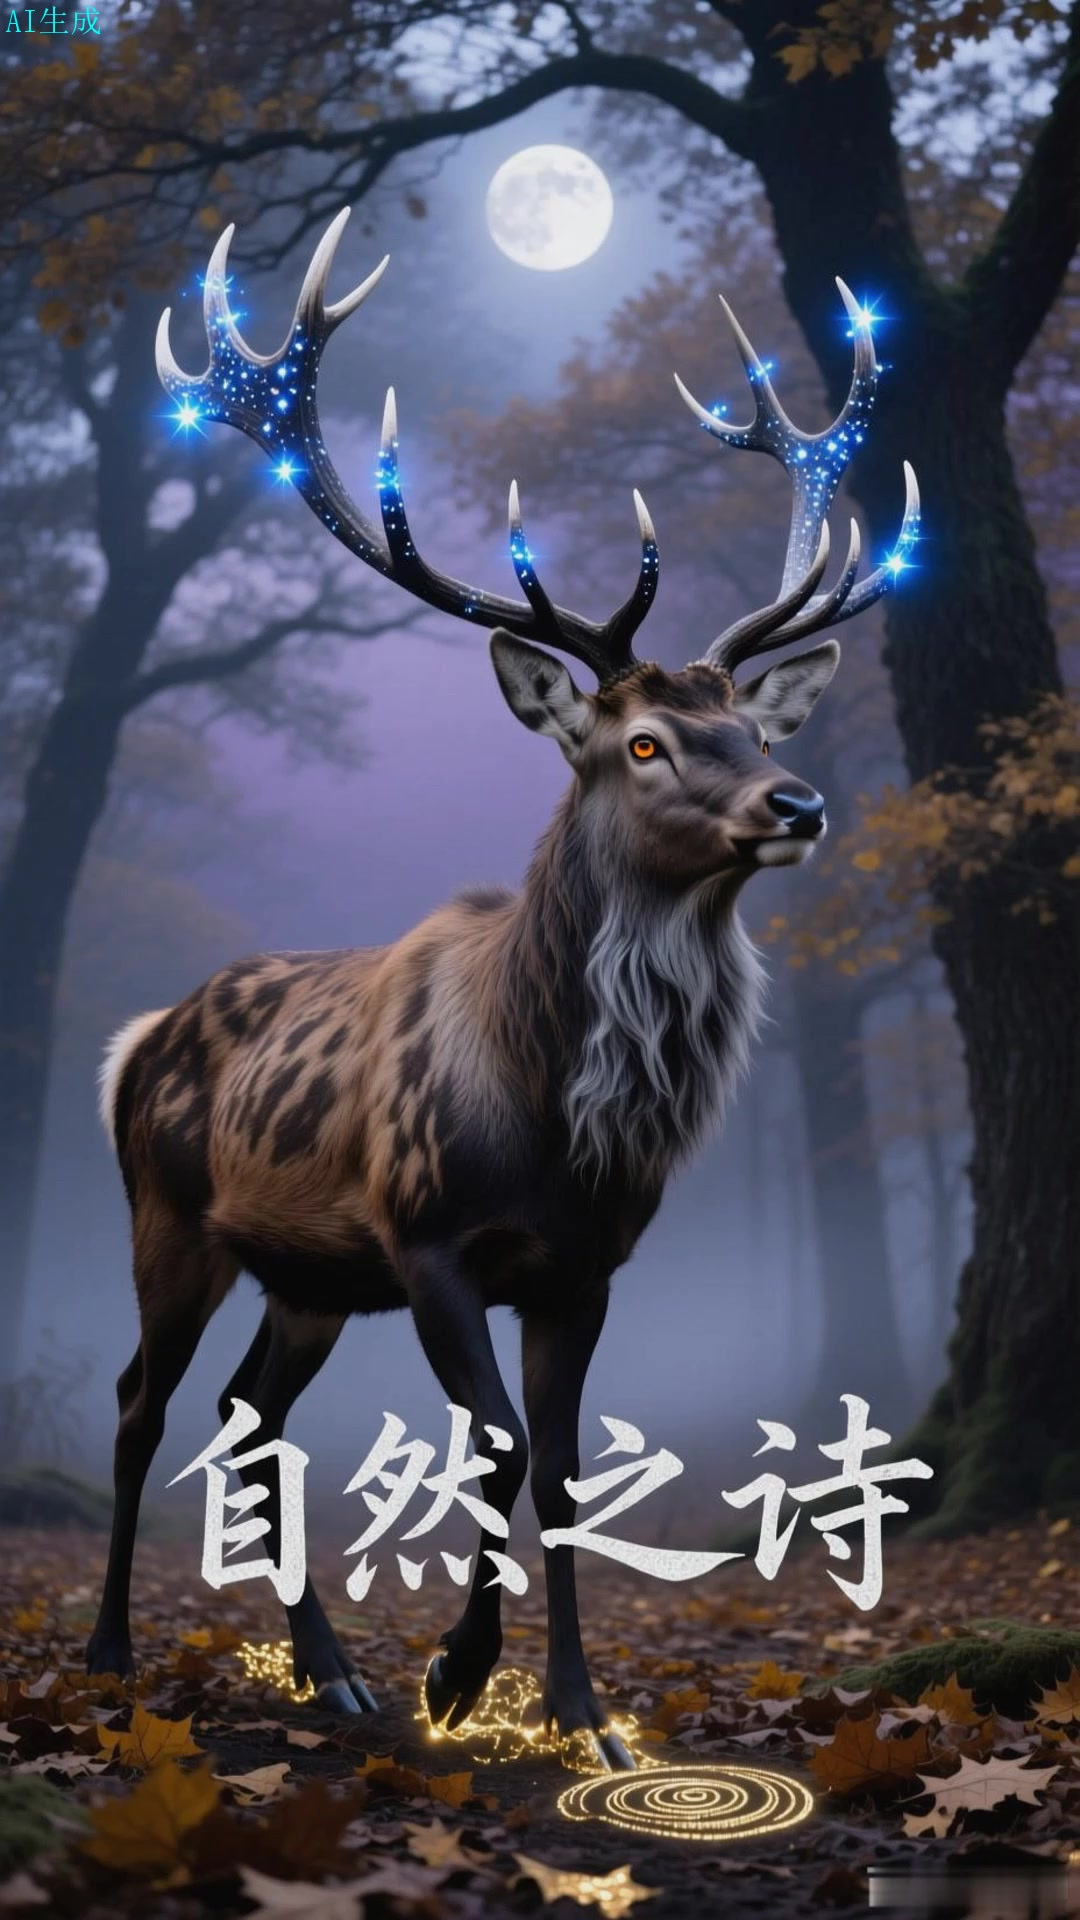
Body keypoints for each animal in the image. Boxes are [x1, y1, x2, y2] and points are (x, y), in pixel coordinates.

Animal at [87, 209, 918, 1771]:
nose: (798, 802)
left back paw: (333, 1676)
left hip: (308, 1276)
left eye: (751, 725)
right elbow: (503, 1446)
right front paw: (457, 1676)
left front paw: (587, 1716)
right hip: (170, 1215)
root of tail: (134, 1040)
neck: (555, 1122)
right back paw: (115, 1656)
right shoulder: (429, 1236)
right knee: (139, 1400)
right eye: (644, 743)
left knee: (244, 1413)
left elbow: (572, 1471)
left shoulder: (583, 1268)